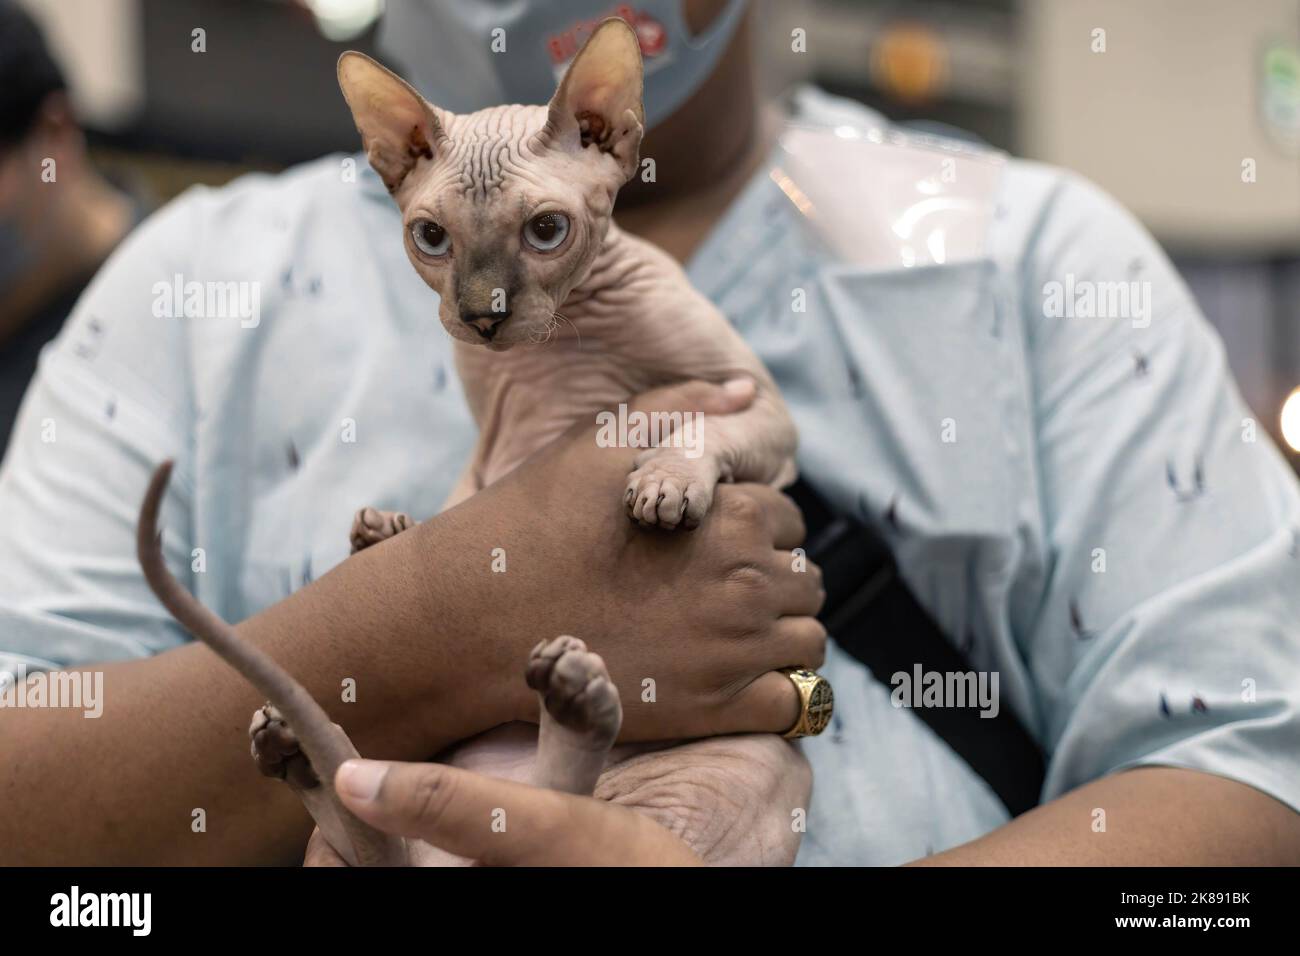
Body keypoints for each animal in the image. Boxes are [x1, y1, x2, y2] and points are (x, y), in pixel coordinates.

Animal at [137, 16, 795, 868]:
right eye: (430, 238)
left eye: (546, 231)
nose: (483, 314)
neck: (558, 350)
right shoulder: (490, 442)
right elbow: (463, 497)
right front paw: (386, 531)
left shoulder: (758, 398)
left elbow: (709, 421)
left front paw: (667, 480)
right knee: (399, 830)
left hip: (728, 770)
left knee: (566, 808)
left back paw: (572, 705)